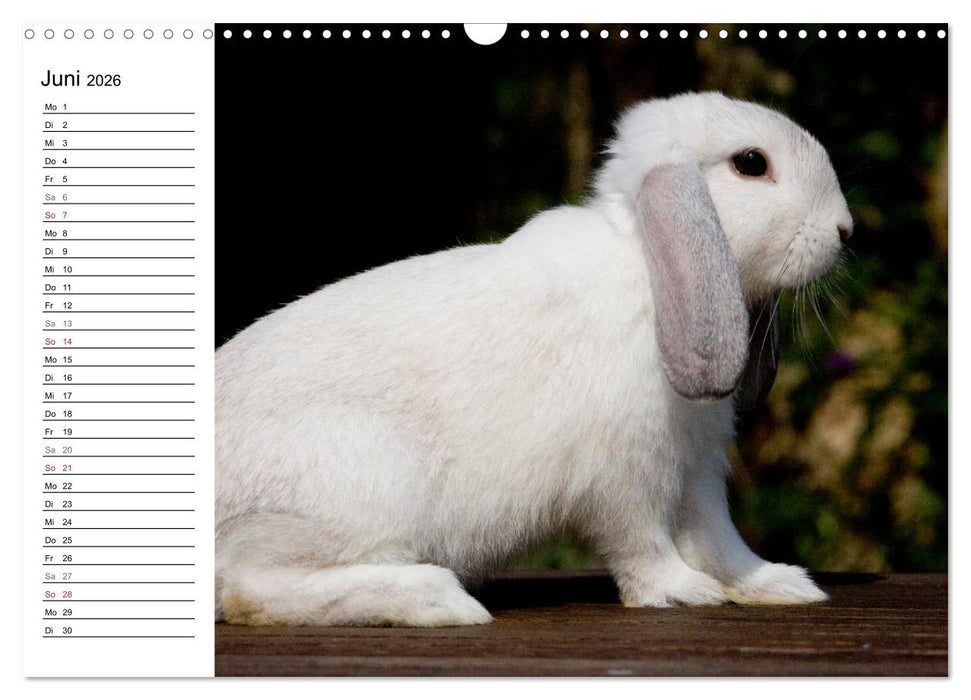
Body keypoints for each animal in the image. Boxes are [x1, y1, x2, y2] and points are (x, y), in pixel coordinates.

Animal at [215, 91, 853, 627]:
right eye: (751, 163)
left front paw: (778, 584)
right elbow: (642, 540)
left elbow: (719, 539)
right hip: (358, 490)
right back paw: (440, 601)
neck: (645, 266)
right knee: (250, 589)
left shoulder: (696, 464)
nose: (845, 230)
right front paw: (680, 593)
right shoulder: (626, 472)